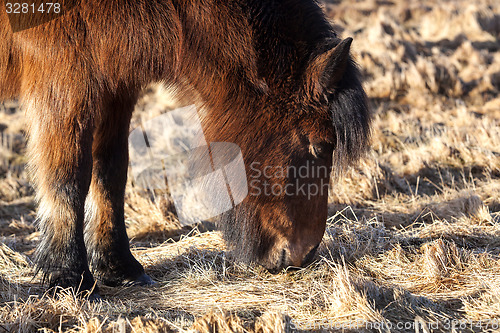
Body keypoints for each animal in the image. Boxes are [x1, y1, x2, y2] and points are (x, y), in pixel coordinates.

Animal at [0, 0, 372, 296]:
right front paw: (68, 276)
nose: (303, 256)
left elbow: (111, 172)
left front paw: (119, 267)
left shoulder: (115, 86)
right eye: (320, 146)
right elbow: (69, 178)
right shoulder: (65, 80)